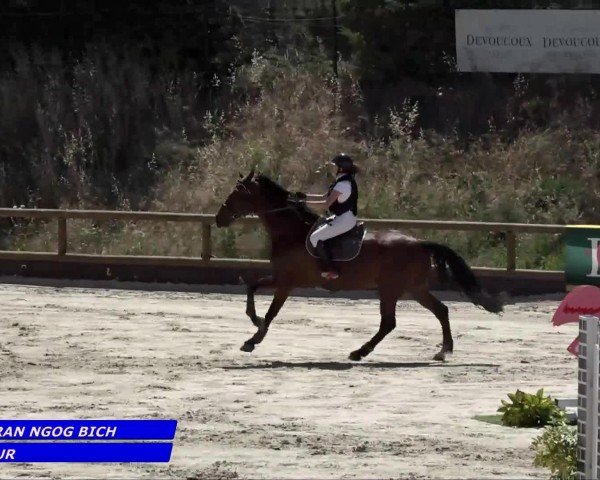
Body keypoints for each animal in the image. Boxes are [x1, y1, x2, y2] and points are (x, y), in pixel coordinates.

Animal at [213, 169, 504, 360]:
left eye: (237, 193)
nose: (218, 219)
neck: (292, 231)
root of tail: (420, 242)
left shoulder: (286, 281)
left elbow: (271, 310)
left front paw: (253, 339)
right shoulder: (279, 277)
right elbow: (251, 286)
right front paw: (254, 321)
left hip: (390, 289)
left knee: (389, 323)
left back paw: (360, 351)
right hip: (414, 288)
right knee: (441, 310)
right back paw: (443, 351)